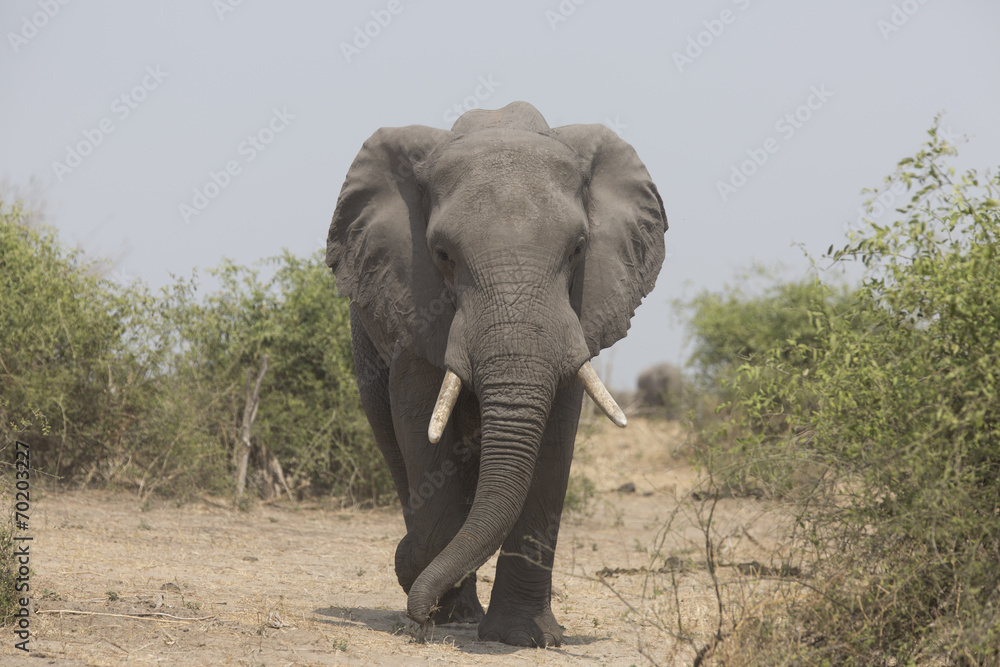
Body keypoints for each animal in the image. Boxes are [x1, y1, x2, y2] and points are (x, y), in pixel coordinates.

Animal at [326, 101, 667, 647]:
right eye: (442, 254)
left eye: (578, 249)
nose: (418, 618)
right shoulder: (413, 299)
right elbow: (421, 423)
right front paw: (423, 584)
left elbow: (554, 439)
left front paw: (523, 637)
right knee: (395, 446)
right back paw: (449, 601)